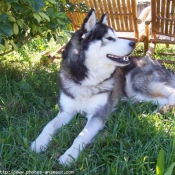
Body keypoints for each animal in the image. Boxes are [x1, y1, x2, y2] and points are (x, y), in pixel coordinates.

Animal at [30, 9, 175, 165]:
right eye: (109, 38)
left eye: (116, 36)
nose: (134, 43)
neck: (86, 81)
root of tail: (155, 61)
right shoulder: (66, 111)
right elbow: (49, 125)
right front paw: (38, 143)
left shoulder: (98, 114)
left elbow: (81, 136)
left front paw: (69, 156)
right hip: (136, 95)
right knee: (162, 100)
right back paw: (156, 112)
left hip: (136, 85)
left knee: (171, 94)